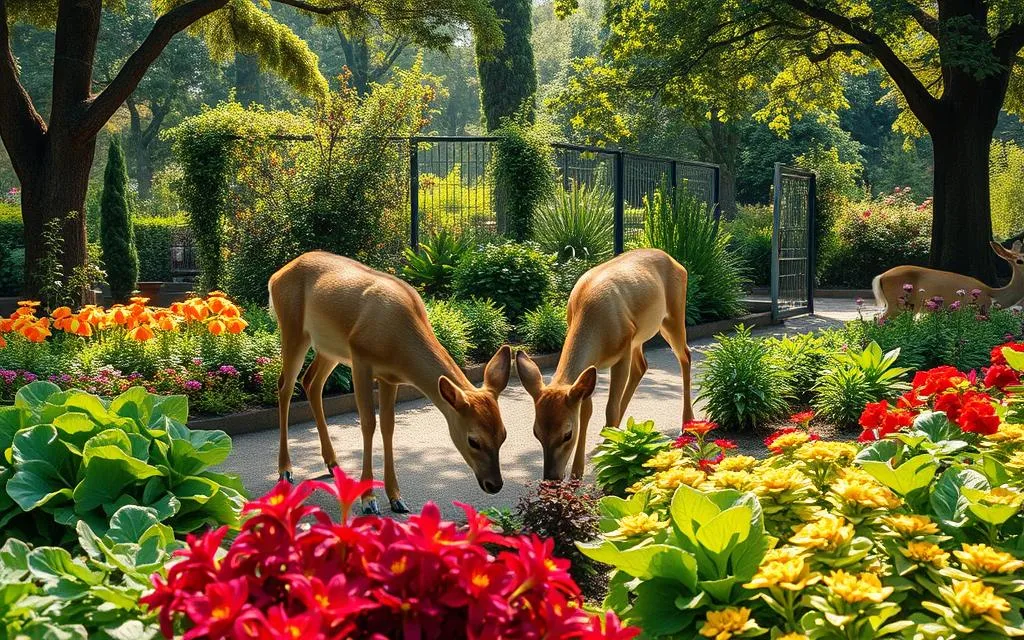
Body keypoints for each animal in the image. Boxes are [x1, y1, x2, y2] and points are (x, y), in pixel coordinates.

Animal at [268, 251, 512, 515]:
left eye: (503, 435)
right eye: (473, 440)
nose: (494, 484)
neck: (400, 344)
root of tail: (275, 277)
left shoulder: (389, 376)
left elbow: (388, 426)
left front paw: (396, 498)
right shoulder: (361, 359)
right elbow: (368, 423)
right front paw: (368, 500)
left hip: (329, 346)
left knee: (311, 382)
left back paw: (333, 462)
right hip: (293, 328)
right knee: (285, 386)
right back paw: (285, 470)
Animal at [515, 248, 694, 481]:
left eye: (567, 434)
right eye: (536, 432)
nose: (551, 477)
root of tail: (675, 261)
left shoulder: (622, 351)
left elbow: (610, 408)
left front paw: (609, 457)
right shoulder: (591, 368)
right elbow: (587, 411)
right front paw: (577, 472)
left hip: (672, 316)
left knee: (685, 356)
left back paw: (687, 424)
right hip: (639, 336)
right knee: (642, 365)